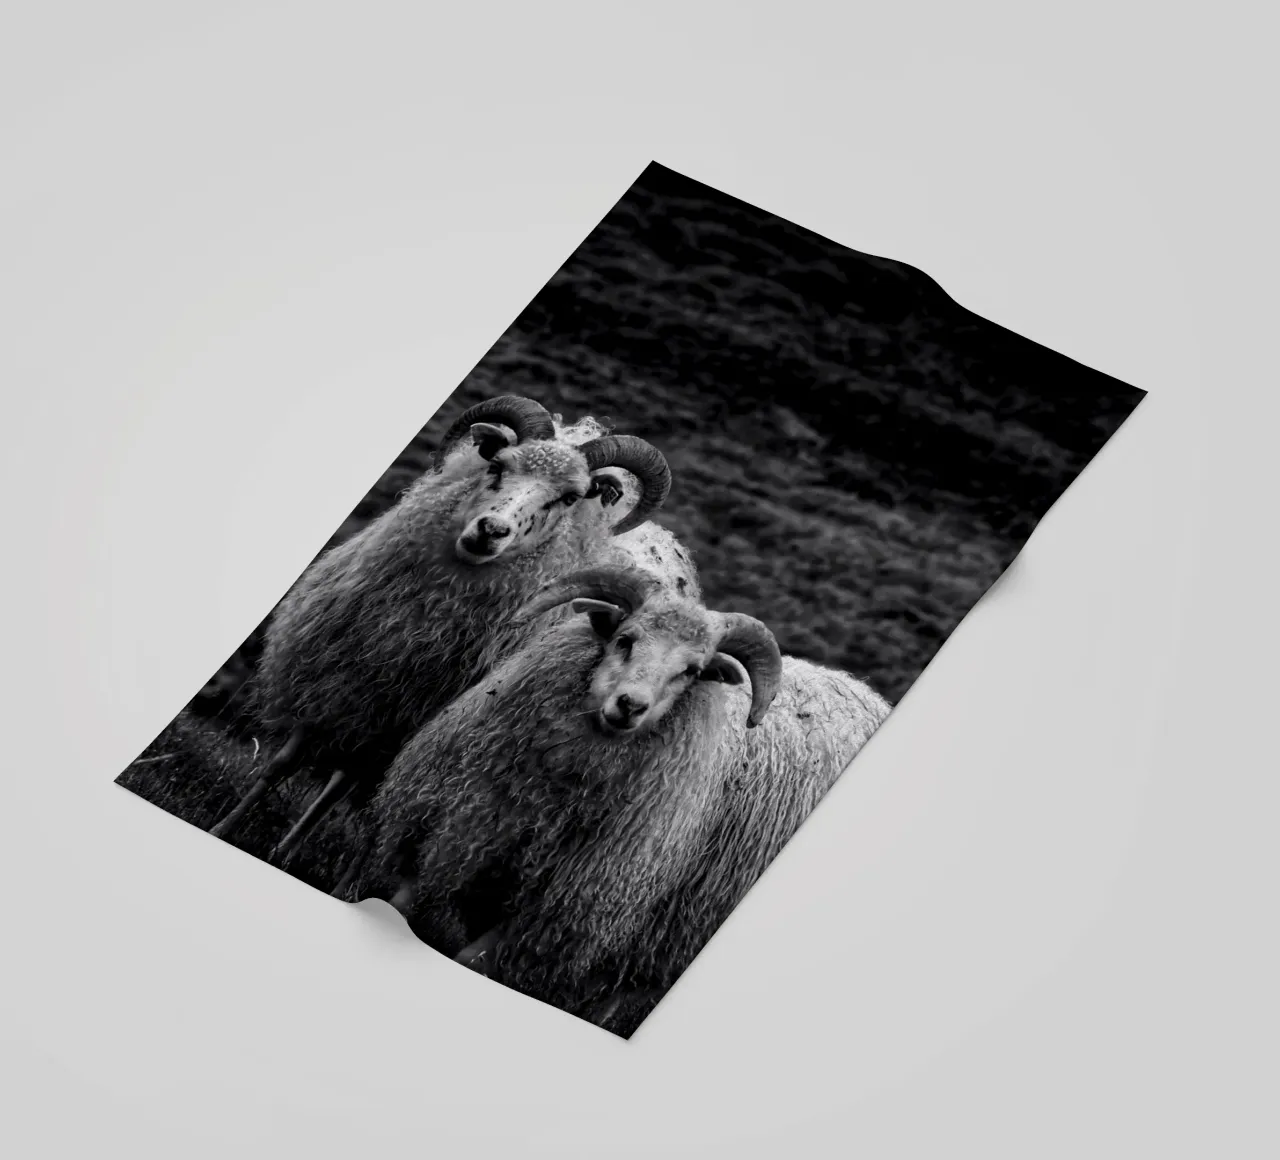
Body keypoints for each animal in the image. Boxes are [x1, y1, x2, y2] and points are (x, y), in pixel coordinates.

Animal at [209, 396, 679, 862]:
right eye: (498, 466)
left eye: (569, 498)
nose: (491, 530)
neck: (427, 618)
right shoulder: (336, 678)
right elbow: (281, 764)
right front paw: (222, 827)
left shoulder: (398, 723)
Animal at [367, 563, 785, 1013]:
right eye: (624, 639)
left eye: (691, 671)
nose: (631, 706)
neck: (548, 807)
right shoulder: (452, 838)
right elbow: (399, 901)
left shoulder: (551, 918)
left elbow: (469, 960)